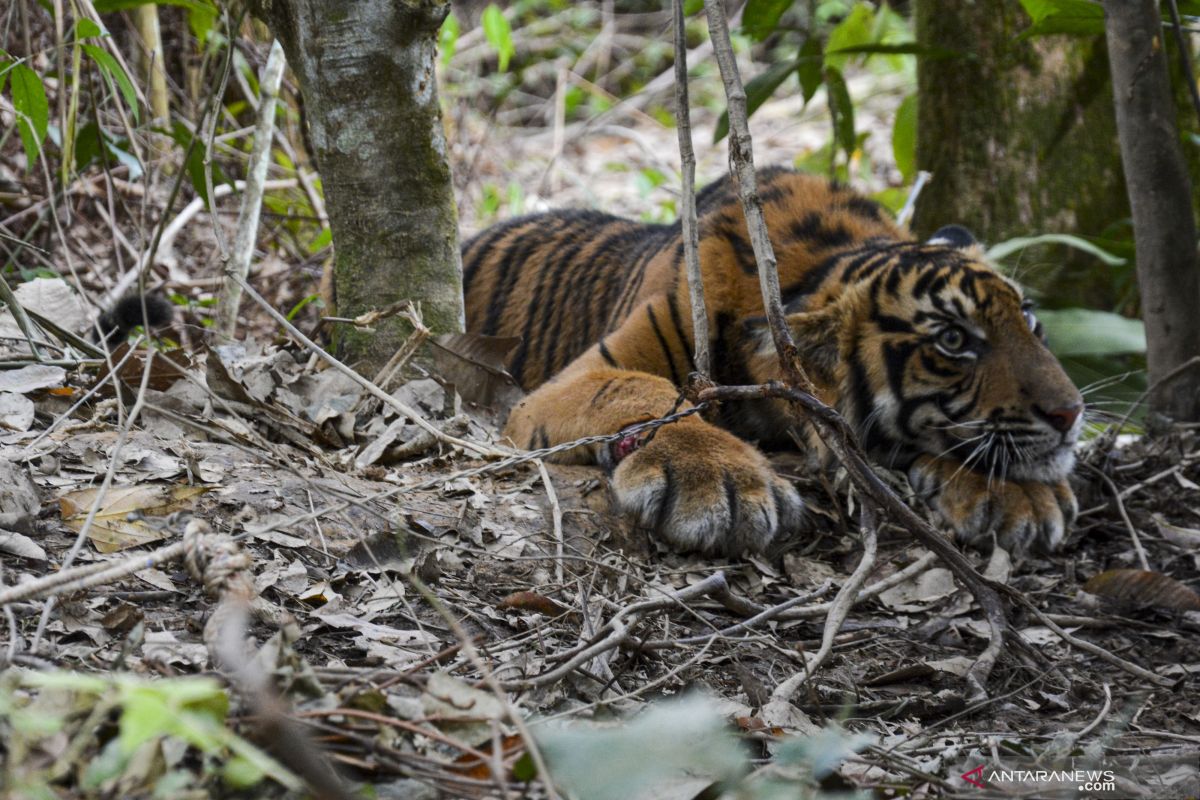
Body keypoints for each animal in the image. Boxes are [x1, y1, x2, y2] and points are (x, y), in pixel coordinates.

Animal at [460, 169, 1089, 556]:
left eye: (1029, 318)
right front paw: (719, 480)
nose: (1071, 413)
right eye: (954, 340)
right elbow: (642, 391)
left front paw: (1022, 497)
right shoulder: (575, 378)